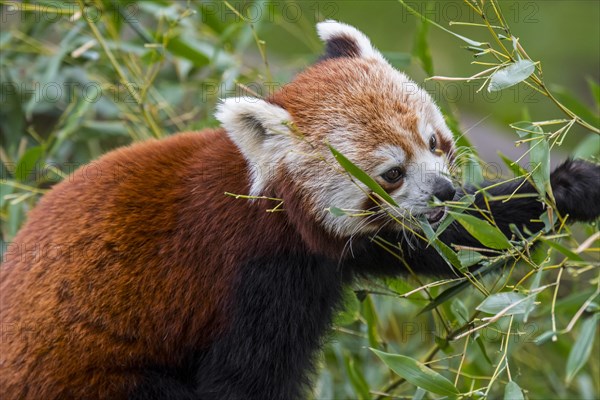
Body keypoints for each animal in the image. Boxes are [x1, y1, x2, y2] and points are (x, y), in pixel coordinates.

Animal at [1, 19, 600, 400]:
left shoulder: (343, 247)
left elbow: (455, 240)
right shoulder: (255, 276)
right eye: (391, 173)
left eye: (435, 142)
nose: (443, 191)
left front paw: (567, 186)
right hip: (92, 379)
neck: (273, 205)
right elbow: (242, 384)